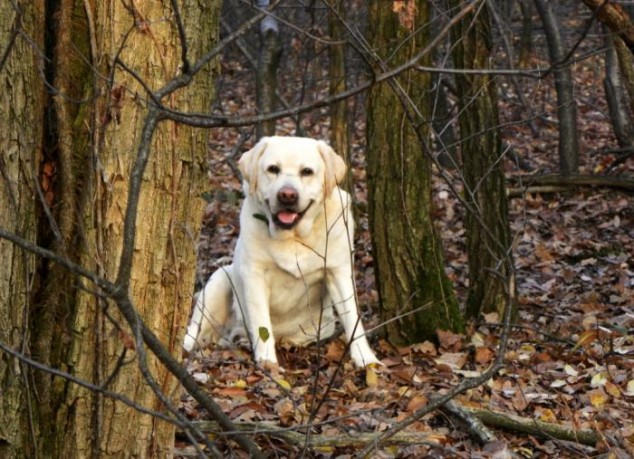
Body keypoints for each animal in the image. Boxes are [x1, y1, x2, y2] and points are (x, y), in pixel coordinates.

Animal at [183, 135, 380, 368]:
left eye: (307, 171)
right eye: (273, 169)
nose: (287, 195)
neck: (293, 238)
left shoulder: (338, 271)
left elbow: (352, 316)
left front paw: (366, 358)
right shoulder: (255, 274)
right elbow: (262, 322)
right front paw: (267, 361)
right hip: (220, 279)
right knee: (194, 331)